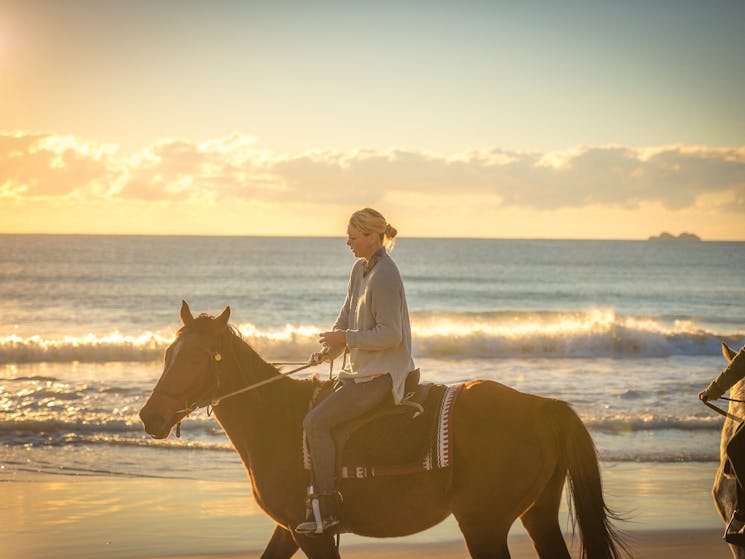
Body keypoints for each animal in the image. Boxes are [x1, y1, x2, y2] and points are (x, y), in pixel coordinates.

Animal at [138, 304, 620, 556]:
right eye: (167, 354)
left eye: (196, 358)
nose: (150, 417)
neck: (277, 421)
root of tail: (541, 408)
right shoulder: (290, 529)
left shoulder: (309, 532)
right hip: (536, 514)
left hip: (483, 524)